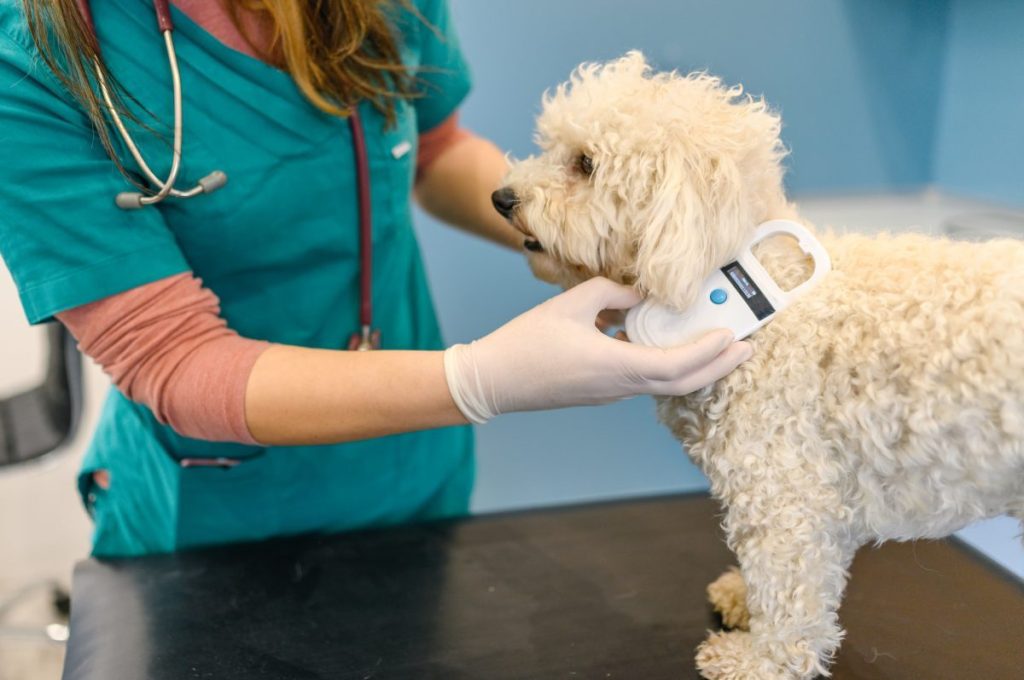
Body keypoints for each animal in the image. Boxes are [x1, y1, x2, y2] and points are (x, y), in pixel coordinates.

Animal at [495, 50, 1024, 675]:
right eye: (550, 147)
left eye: (585, 163)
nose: (501, 198)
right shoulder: (824, 489)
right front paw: (744, 599)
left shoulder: (784, 489)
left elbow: (790, 589)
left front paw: (761, 661)